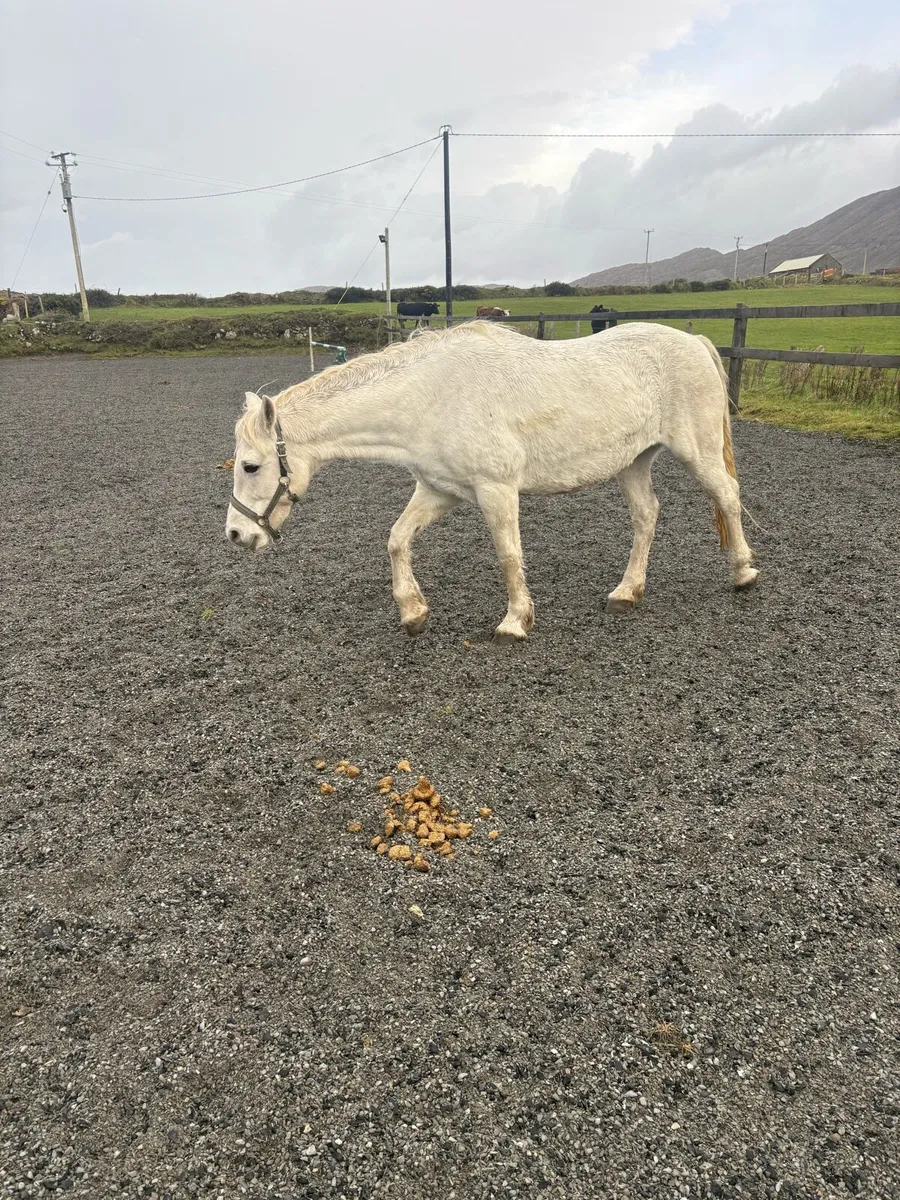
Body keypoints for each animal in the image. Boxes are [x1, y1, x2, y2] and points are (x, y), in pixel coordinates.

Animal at [226, 321, 758, 641]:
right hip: (633, 461)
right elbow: (397, 539)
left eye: (250, 466)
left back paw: (743, 573)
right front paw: (413, 612)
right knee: (647, 515)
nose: (236, 533)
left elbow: (508, 555)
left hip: (697, 450)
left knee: (727, 496)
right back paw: (627, 592)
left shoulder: (496, 489)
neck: (430, 396)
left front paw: (515, 621)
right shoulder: (439, 490)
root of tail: (695, 341)